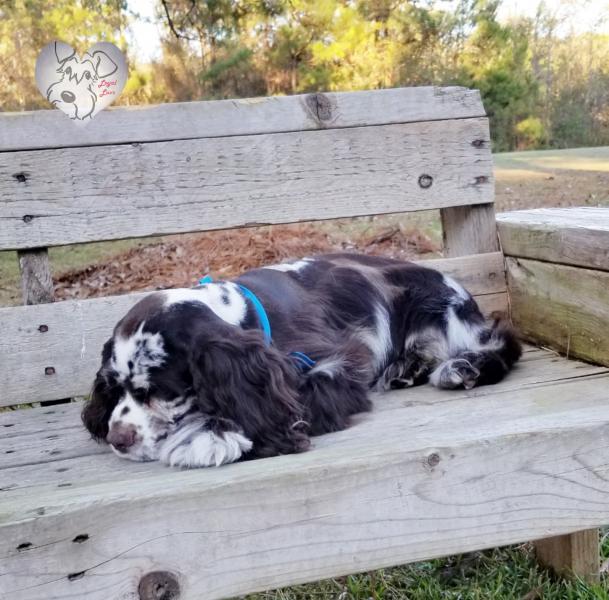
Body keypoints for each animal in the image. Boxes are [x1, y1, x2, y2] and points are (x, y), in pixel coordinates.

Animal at [81, 253, 520, 468]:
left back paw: (461, 367)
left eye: (158, 391)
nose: (117, 439)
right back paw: (405, 369)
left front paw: (205, 434)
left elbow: (295, 400)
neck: (241, 316)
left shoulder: (339, 364)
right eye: (113, 386)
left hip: (439, 308)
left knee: (505, 342)